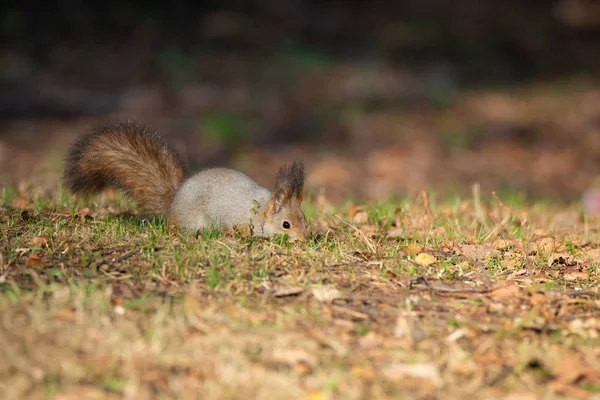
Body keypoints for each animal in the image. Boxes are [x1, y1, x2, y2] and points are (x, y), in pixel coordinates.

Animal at [63, 117, 310, 239]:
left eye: (305, 220)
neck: (260, 212)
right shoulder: (238, 218)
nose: (304, 239)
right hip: (190, 220)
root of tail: (173, 203)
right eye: (286, 225)